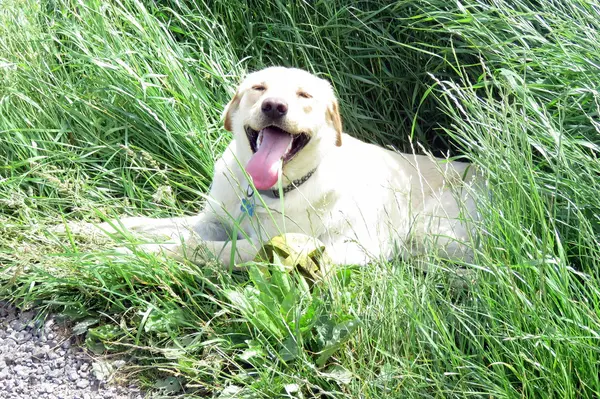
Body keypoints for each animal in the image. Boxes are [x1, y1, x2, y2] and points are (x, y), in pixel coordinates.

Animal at [74, 67, 478, 268]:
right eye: (259, 88)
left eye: (304, 95)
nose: (274, 106)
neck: (260, 194)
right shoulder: (212, 219)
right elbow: (140, 224)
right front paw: (81, 231)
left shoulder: (272, 246)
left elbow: (196, 248)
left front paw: (125, 254)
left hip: (427, 228)